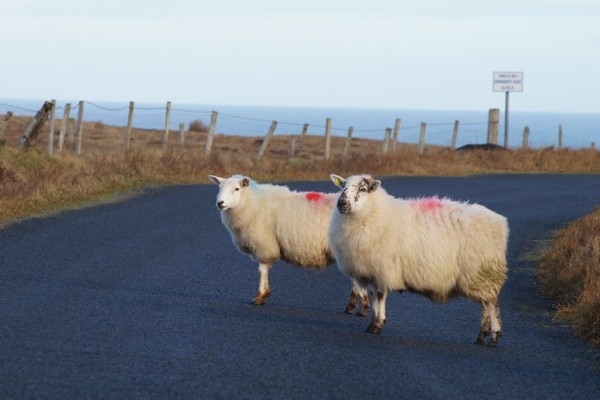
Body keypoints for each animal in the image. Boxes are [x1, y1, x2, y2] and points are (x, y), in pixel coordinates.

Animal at [210, 173, 370, 314]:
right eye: (219, 188)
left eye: (236, 189)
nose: (220, 203)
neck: (252, 202)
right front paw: (263, 295)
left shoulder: (265, 244)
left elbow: (262, 269)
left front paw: (260, 296)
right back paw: (352, 306)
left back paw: (357, 306)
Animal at [326, 175, 508, 346]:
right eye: (342, 186)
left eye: (363, 189)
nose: (342, 203)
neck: (374, 212)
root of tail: (500, 222)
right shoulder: (372, 272)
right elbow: (373, 296)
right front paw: (372, 324)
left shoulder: (383, 269)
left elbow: (379, 296)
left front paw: (377, 325)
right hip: (479, 278)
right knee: (485, 304)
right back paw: (482, 336)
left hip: (483, 273)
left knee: (491, 304)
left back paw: (494, 337)